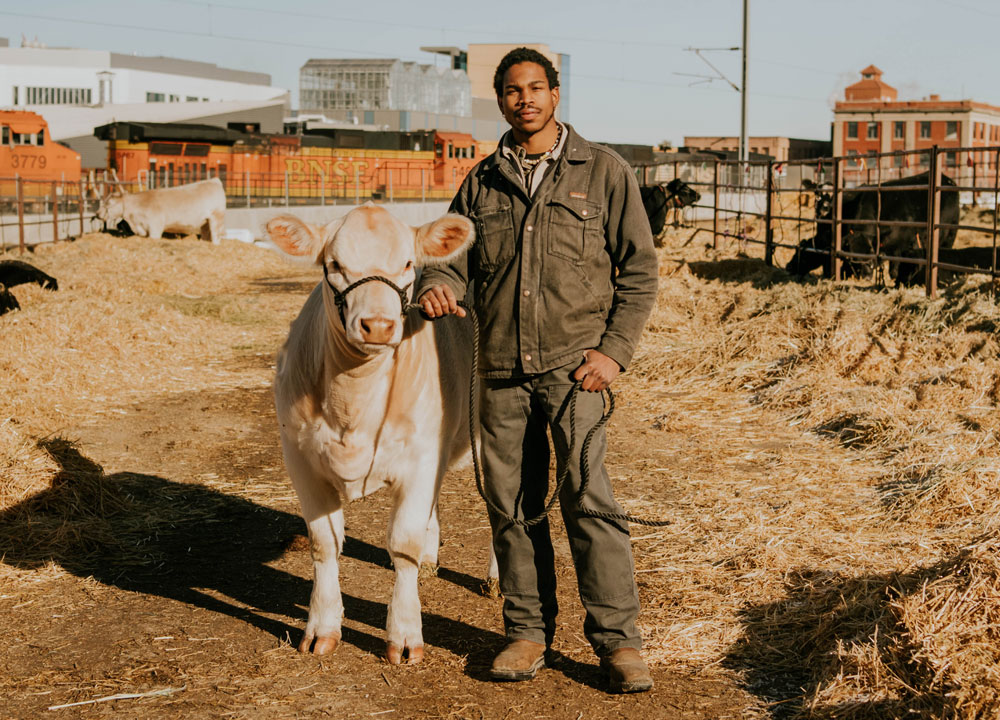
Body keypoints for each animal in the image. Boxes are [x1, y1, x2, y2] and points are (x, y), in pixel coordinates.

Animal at [96, 177, 228, 245]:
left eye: (108, 203)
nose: (97, 214)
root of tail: (214, 180)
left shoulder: (155, 227)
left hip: (217, 218)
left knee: (216, 236)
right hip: (205, 223)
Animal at [268, 201, 498, 664]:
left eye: (408, 264)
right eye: (334, 265)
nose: (377, 325)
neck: (353, 406)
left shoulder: (420, 456)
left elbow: (403, 544)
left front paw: (405, 635)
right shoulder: (300, 459)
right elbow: (324, 543)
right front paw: (322, 627)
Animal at [788, 172, 960, 284]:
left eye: (801, 255)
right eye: (817, 196)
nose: (788, 267)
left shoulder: (900, 244)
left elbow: (894, 270)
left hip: (949, 235)